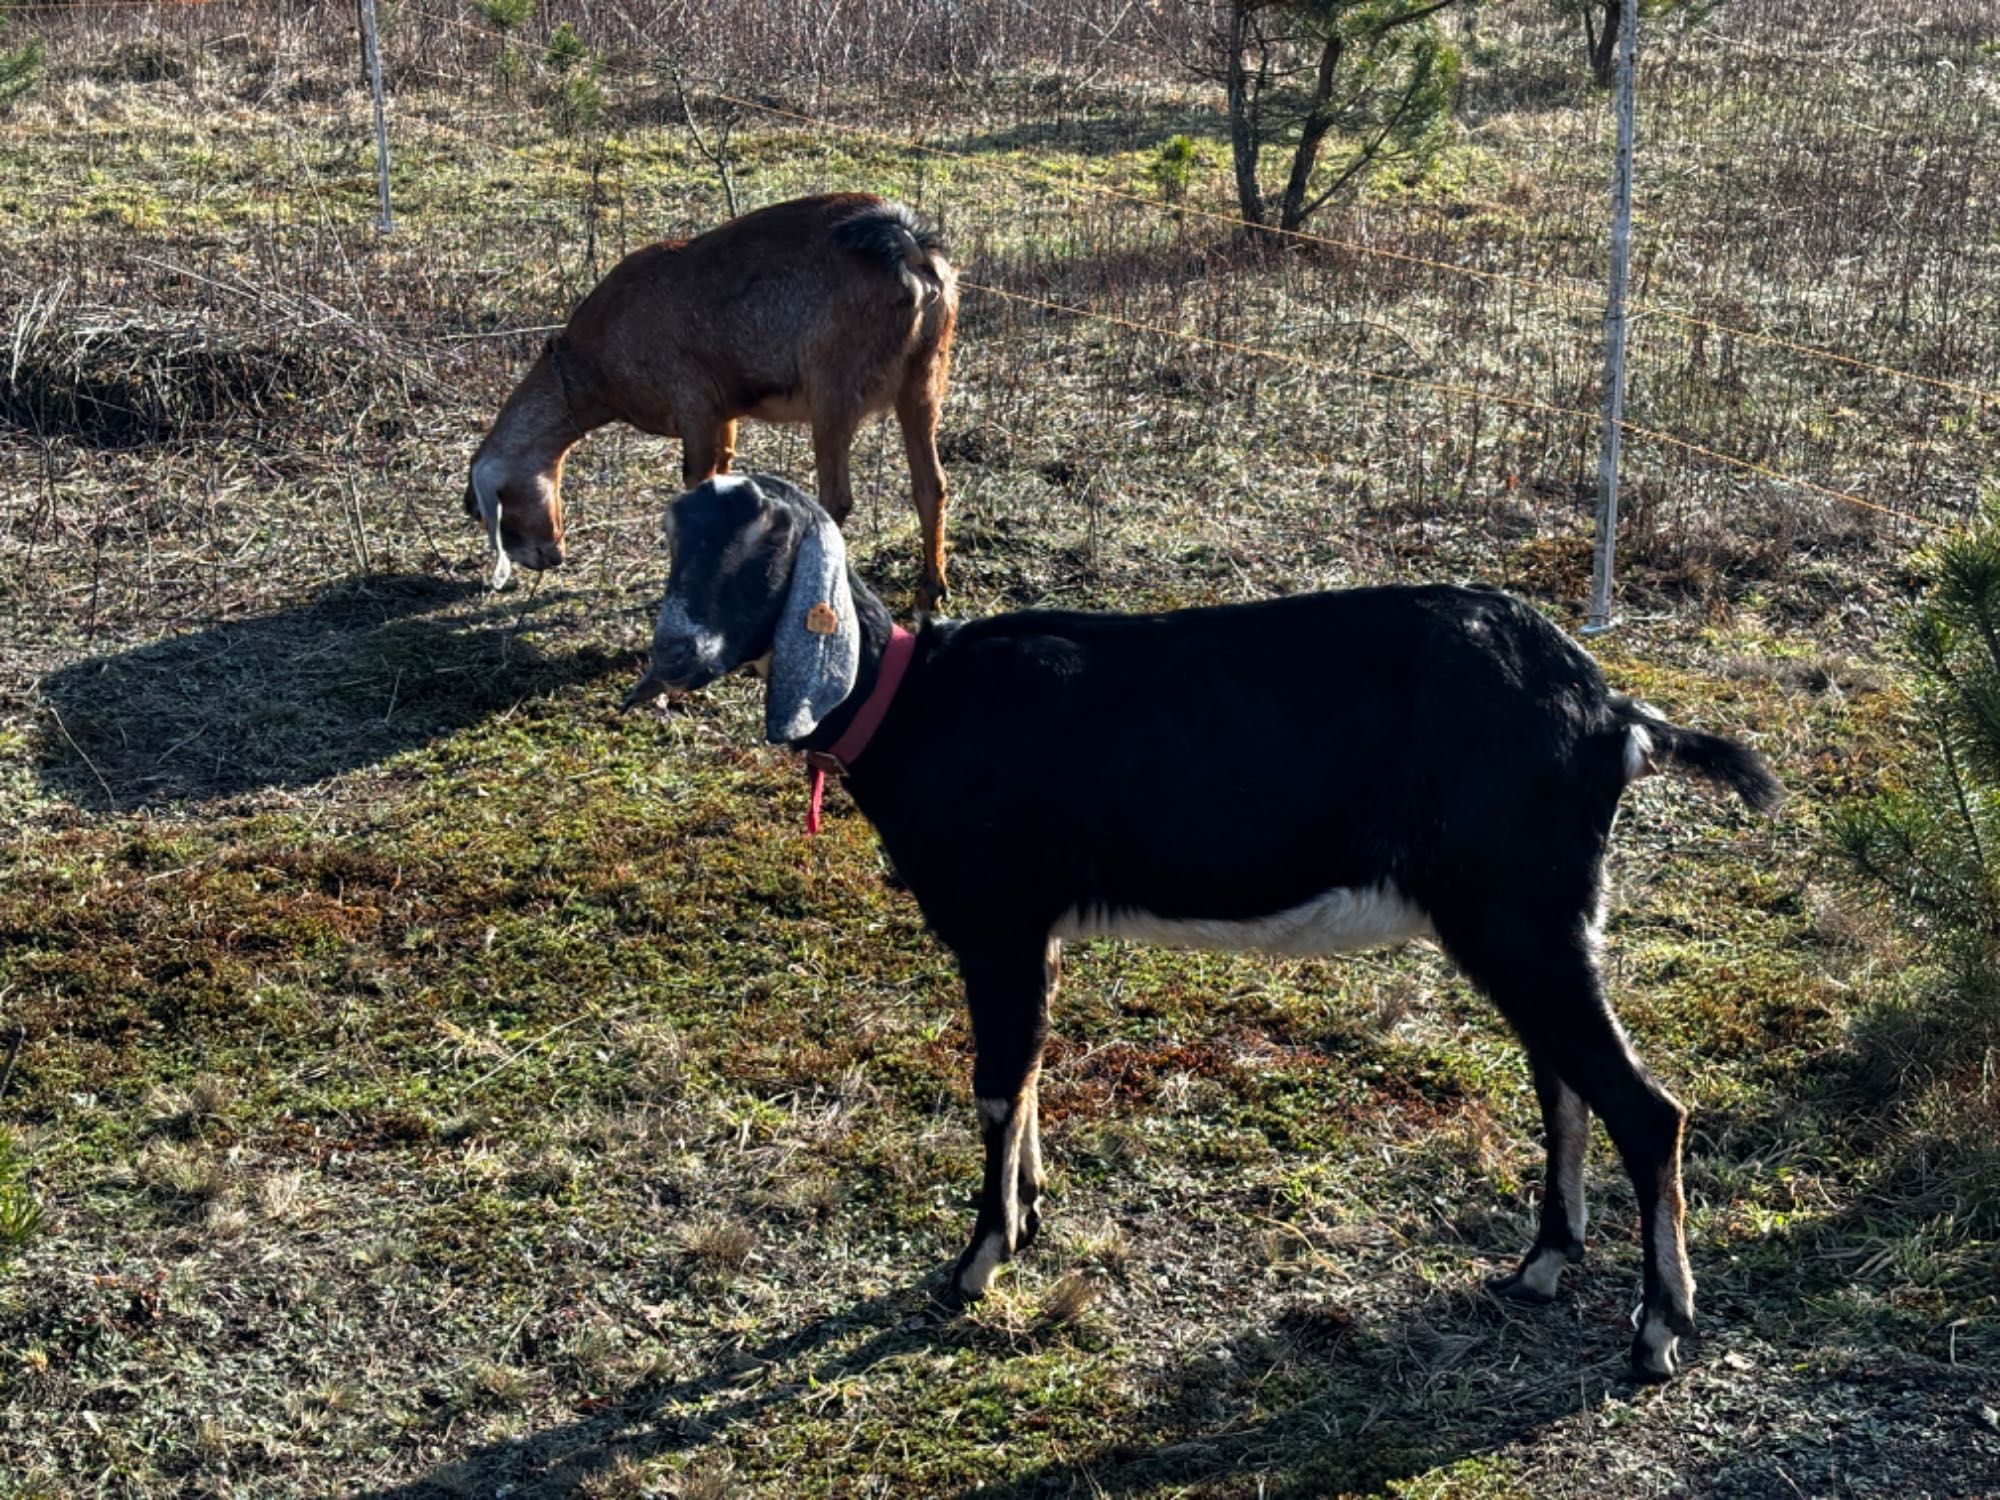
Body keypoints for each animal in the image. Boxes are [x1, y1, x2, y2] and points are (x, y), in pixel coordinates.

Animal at [472, 192, 964, 612]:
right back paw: (931, 591)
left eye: (493, 515)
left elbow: (696, 482)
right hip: (924, 379)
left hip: (833, 387)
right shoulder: (722, 412)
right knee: (931, 484)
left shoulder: (692, 403)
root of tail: (908, 248)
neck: (593, 362)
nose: (545, 558)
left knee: (837, 497)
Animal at [628, 476, 1784, 1384]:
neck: (913, 706)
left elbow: (997, 1083)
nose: (676, 652)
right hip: (1534, 914)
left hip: (1517, 908)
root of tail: (1613, 716)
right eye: (675, 534)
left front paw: (977, 1262)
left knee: (1646, 1108)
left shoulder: (999, 921)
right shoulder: (1039, 933)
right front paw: (1032, 1211)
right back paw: (1543, 1263)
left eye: (764, 545)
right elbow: (1033, 1070)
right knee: (1564, 1081)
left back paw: (1655, 1332)